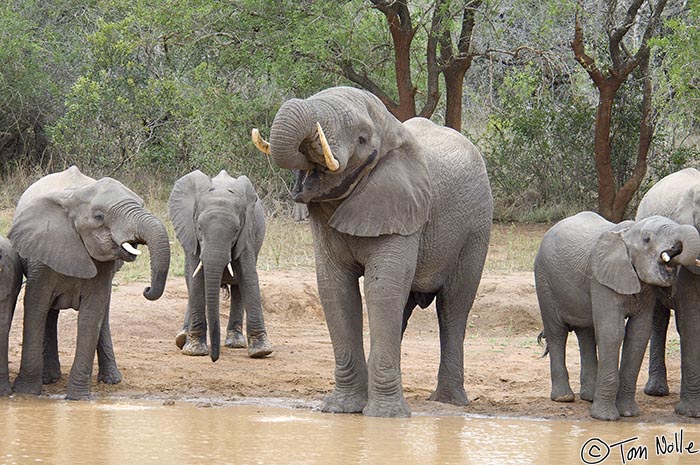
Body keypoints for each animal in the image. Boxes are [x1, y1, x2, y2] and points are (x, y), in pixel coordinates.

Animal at [8, 165, 171, 396]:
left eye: (141, 205)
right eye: (99, 216)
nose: (147, 289)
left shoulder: (103, 266)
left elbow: (92, 314)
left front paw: (78, 398)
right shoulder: (41, 255)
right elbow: (35, 306)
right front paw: (26, 394)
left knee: (103, 313)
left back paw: (111, 380)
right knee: (49, 312)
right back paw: (50, 379)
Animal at [168, 169, 272, 358]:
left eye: (236, 231)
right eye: (199, 228)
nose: (213, 358)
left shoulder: (247, 234)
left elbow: (248, 276)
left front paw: (261, 351)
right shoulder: (191, 235)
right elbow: (196, 279)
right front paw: (195, 350)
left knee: (238, 286)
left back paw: (235, 342)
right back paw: (182, 338)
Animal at [252, 87, 492, 416]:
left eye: (362, 138)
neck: (392, 129)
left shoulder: (404, 209)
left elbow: (382, 290)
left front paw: (385, 416)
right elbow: (336, 290)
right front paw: (341, 409)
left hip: (476, 229)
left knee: (454, 305)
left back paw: (448, 401)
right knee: (404, 309)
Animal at [532, 211, 696, 420]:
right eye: (647, 239)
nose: (676, 247)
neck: (627, 233)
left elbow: (638, 334)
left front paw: (628, 413)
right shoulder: (601, 279)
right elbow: (612, 332)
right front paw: (605, 418)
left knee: (586, 333)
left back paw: (589, 396)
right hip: (544, 280)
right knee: (557, 333)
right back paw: (563, 398)